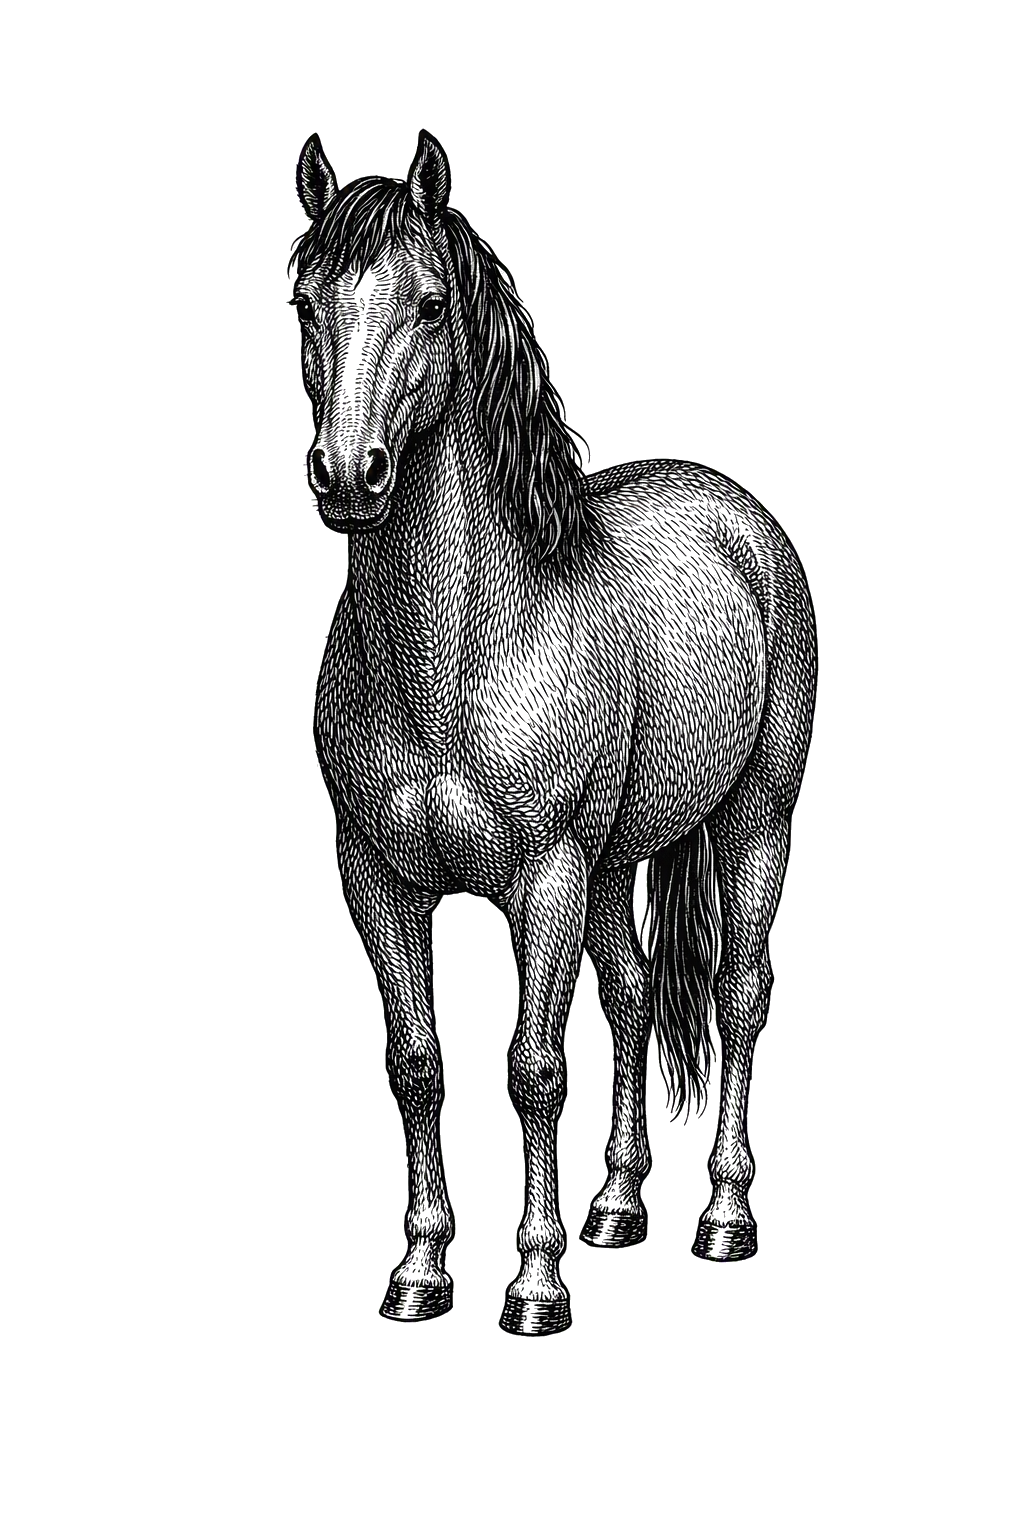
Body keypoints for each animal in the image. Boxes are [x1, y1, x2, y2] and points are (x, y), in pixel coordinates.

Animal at [290, 129, 817, 1336]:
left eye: (432, 303)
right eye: (303, 301)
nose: (348, 475)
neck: (454, 653)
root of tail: (742, 518)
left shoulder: (547, 877)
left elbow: (533, 1068)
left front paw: (533, 1286)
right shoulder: (375, 879)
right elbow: (418, 1064)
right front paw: (420, 1272)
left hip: (753, 823)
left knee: (741, 994)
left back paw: (723, 1217)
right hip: (619, 859)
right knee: (633, 993)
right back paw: (616, 1205)